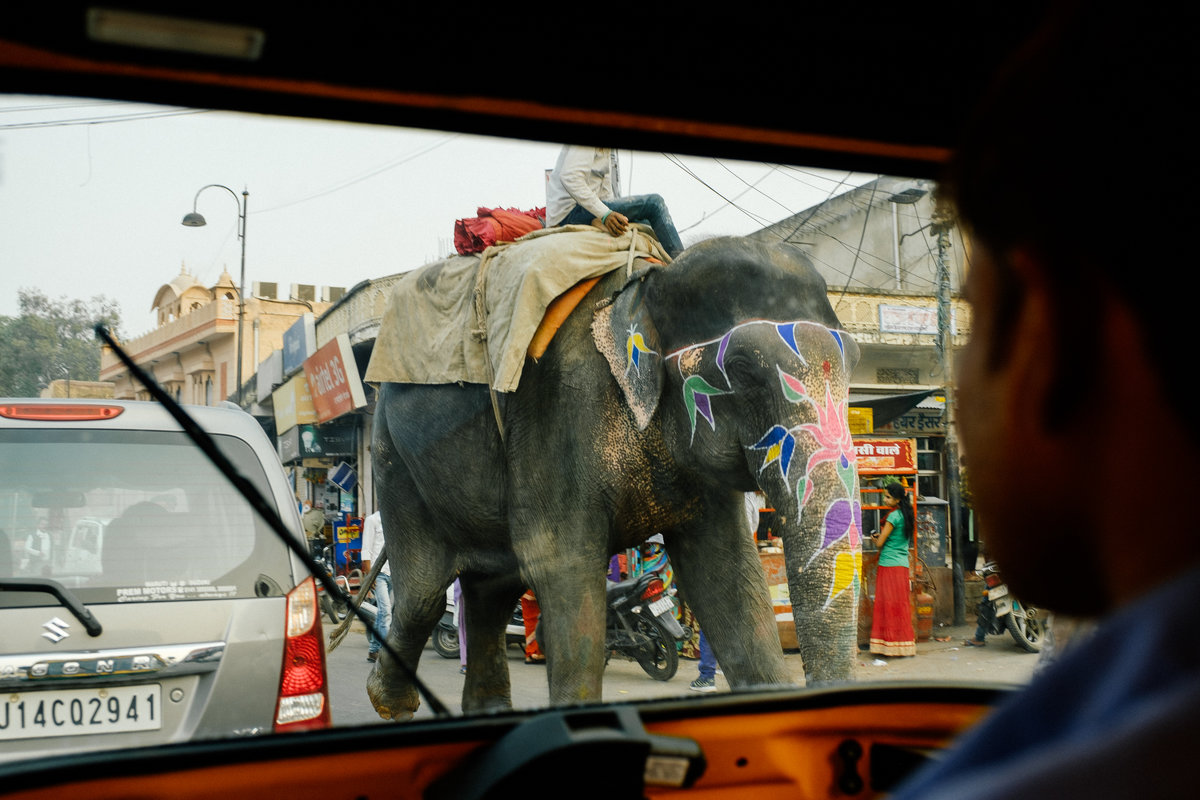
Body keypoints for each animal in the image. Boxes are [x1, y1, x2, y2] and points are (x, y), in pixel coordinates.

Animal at [367, 232, 864, 719]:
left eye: (855, 361)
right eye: (741, 368)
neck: (650, 283)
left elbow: (725, 571)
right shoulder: (561, 417)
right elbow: (561, 565)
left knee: (490, 588)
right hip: (393, 460)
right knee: (427, 594)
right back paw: (388, 700)